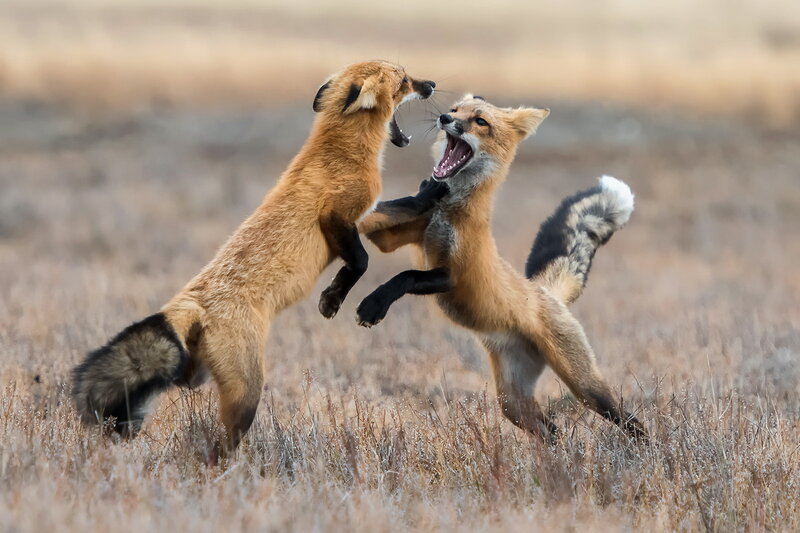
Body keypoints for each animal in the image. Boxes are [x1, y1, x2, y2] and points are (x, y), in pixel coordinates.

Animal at [72, 60, 437, 453]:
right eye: (404, 79)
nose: (432, 84)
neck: (340, 152)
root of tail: (190, 301)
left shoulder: (365, 215)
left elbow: (398, 213)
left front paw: (433, 192)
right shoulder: (335, 216)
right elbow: (361, 262)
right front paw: (332, 300)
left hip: (196, 373)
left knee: (177, 389)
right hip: (247, 389)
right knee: (224, 445)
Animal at [356, 95, 647, 442]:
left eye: (480, 122)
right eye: (455, 111)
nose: (444, 118)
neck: (450, 213)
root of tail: (545, 292)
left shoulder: (455, 275)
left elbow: (406, 276)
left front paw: (374, 304)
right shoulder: (393, 237)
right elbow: (392, 214)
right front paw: (420, 191)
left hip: (585, 387)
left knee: (630, 421)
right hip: (513, 403)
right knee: (553, 431)